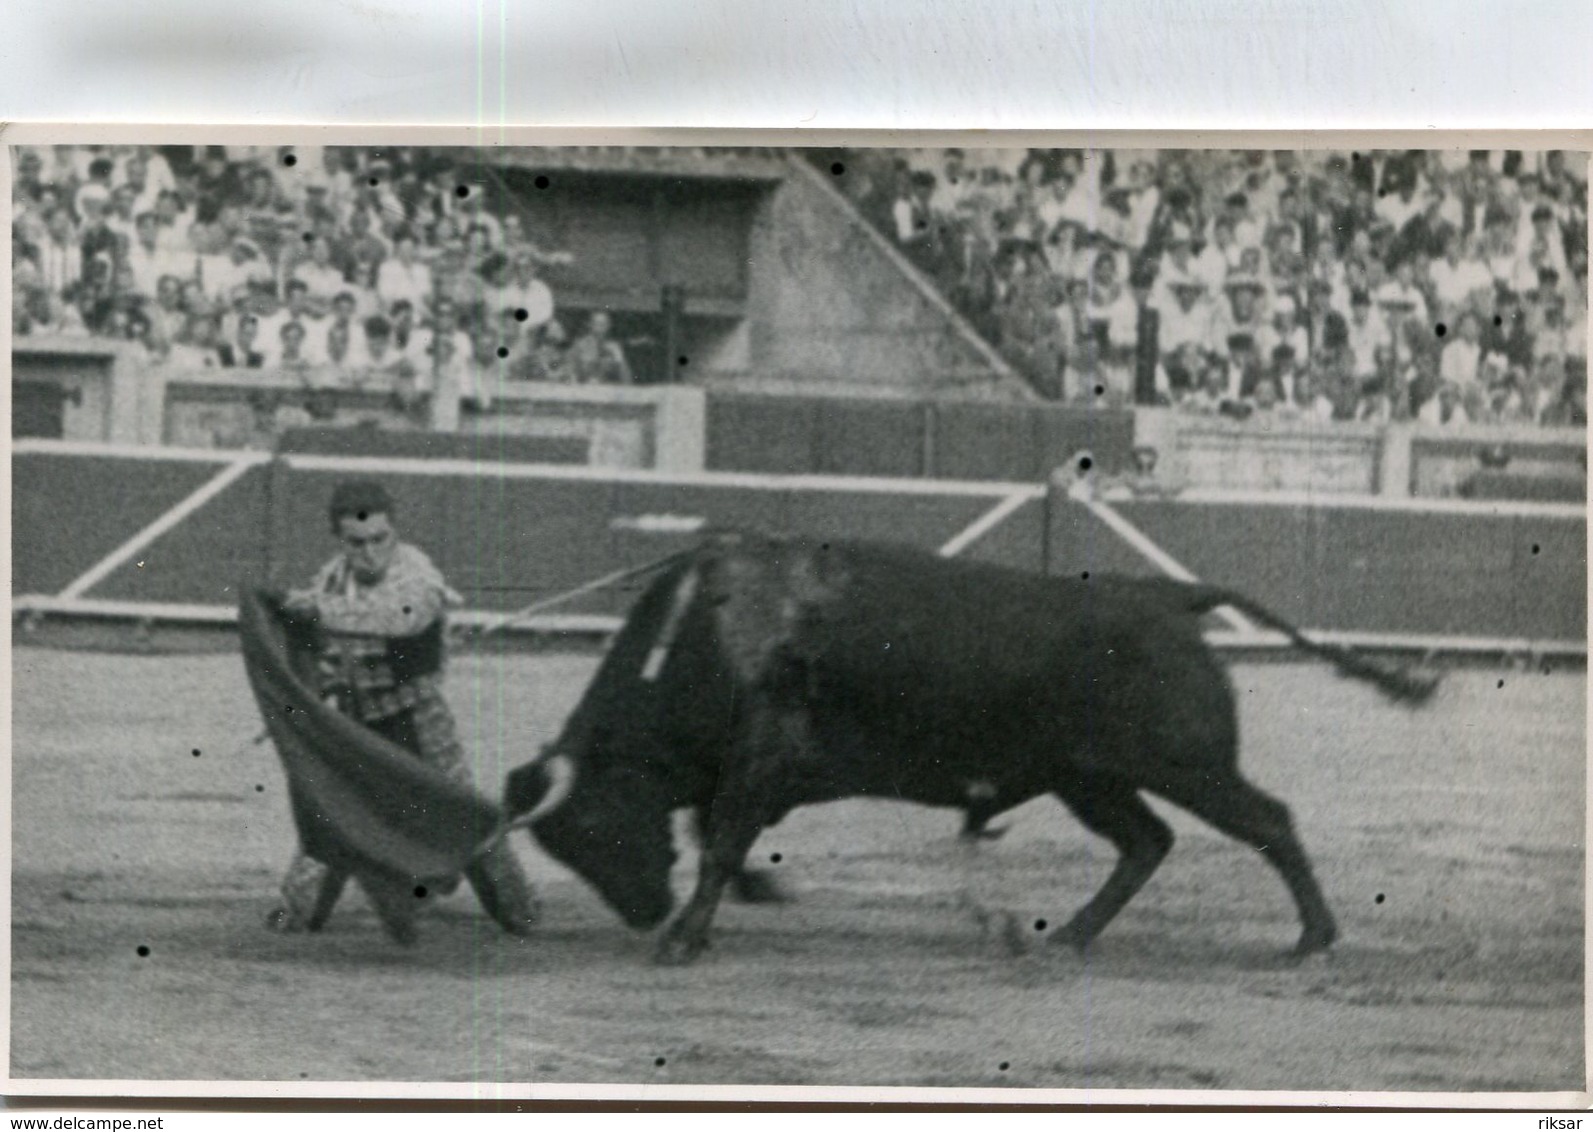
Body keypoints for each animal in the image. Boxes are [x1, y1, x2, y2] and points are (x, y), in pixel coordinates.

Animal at [503, 531, 1440, 968]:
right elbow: (717, 843)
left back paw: (1312, 938)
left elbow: (718, 845)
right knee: (1146, 842)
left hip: (1185, 766)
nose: (641, 914)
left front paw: (682, 939)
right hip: (1091, 779)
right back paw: (1067, 935)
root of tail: (1168, 599)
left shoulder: (756, 768)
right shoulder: (739, 777)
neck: (710, 635)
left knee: (1265, 821)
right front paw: (748, 901)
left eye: (590, 825)